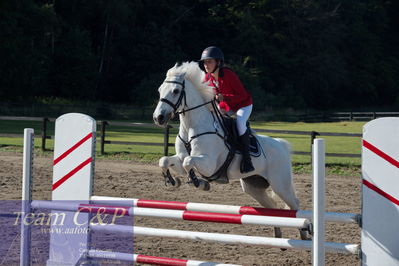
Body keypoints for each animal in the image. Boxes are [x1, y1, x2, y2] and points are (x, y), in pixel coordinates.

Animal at [153, 61, 306, 239]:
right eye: (159, 90)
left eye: (176, 91)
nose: (158, 118)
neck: (192, 126)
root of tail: (281, 144)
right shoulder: (180, 158)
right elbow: (166, 160)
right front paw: (172, 180)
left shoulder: (208, 164)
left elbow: (188, 162)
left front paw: (201, 183)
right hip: (253, 186)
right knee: (274, 207)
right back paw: (278, 234)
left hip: (281, 185)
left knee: (294, 205)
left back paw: (306, 233)